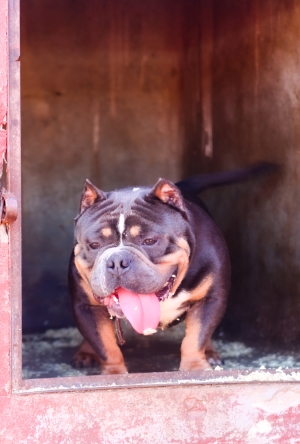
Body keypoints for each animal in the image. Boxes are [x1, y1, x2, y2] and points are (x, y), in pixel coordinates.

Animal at [69, 161, 276, 372]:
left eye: (149, 241)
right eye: (94, 245)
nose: (117, 261)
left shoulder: (210, 299)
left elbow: (197, 337)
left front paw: (195, 368)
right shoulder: (86, 307)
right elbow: (105, 345)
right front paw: (114, 374)